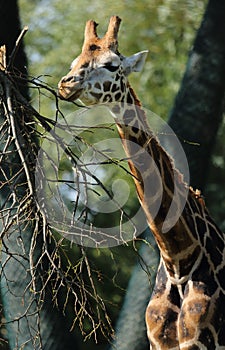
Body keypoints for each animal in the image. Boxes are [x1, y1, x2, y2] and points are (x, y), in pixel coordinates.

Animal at [57, 15, 225, 348]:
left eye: (111, 65)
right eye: (75, 62)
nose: (66, 84)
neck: (178, 260)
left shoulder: (203, 339)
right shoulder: (159, 341)